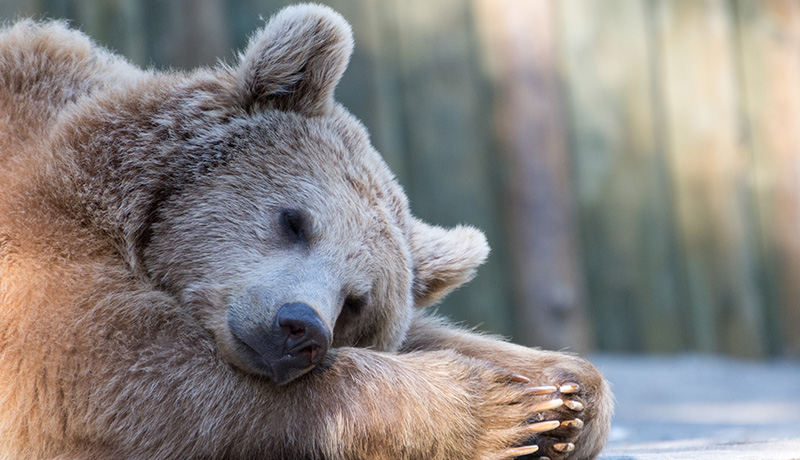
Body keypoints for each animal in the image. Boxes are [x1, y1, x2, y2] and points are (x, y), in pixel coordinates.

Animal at [0, 4, 612, 460]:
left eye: (357, 302)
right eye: (294, 220)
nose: (299, 328)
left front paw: (563, 395)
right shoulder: (40, 244)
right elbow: (115, 372)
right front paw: (491, 409)